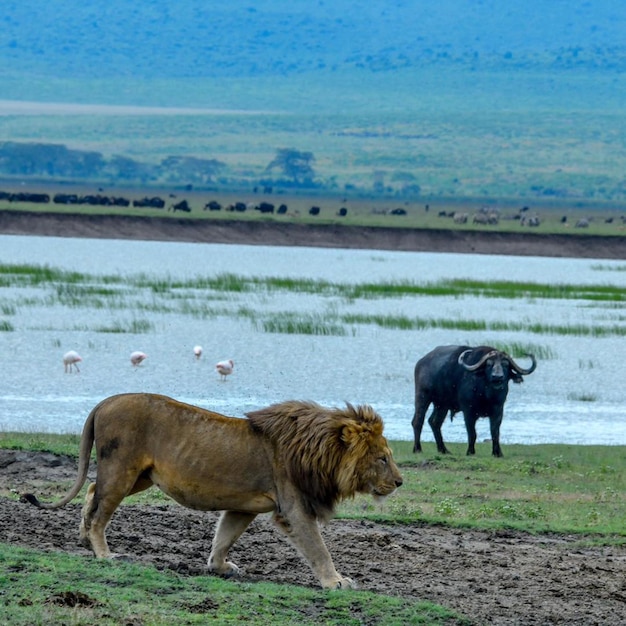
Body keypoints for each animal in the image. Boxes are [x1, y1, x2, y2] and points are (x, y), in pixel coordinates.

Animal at [23, 392, 400, 588]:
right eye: (382, 458)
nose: (399, 482)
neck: (320, 453)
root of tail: (106, 401)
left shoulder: (244, 506)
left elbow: (225, 536)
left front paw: (219, 567)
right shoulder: (294, 508)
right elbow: (319, 549)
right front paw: (336, 582)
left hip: (139, 477)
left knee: (91, 490)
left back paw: (83, 538)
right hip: (122, 471)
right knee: (101, 509)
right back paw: (104, 554)